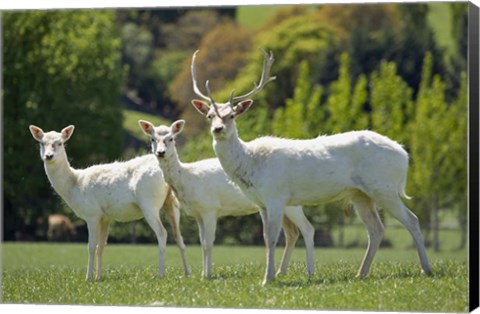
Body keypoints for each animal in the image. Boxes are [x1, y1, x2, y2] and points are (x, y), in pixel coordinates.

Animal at [28, 124, 191, 280]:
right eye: (42, 143)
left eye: (60, 143)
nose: (49, 156)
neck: (74, 186)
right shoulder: (105, 217)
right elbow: (101, 246)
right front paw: (99, 277)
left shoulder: (92, 213)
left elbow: (91, 246)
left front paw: (88, 278)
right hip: (172, 202)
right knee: (178, 236)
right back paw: (187, 274)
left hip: (149, 203)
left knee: (162, 233)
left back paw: (160, 275)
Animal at [138, 119, 316, 278]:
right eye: (152, 139)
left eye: (171, 138)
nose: (161, 152)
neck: (188, 178)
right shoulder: (198, 214)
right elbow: (202, 243)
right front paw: (202, 273)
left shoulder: (210, 208)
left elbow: (209, 242)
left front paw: (207, 275)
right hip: (280, 204)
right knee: (292, 233)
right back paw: (281, 272)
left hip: (288, 202)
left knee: (307, 228)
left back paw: (309, 272)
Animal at [189, 49, 434, 284]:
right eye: (209, 116)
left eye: (231, 115)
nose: (218, 129)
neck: (250, 164)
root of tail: (404, 155)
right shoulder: (261, 203)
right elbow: (266, 238)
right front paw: (269, 275)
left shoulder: (276, 196)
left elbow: (272, 238)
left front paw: (267, 279)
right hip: (360, 194)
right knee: (376, 229)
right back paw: (360, 273)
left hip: (384, 187)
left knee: (412, 220)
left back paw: (426, 269)